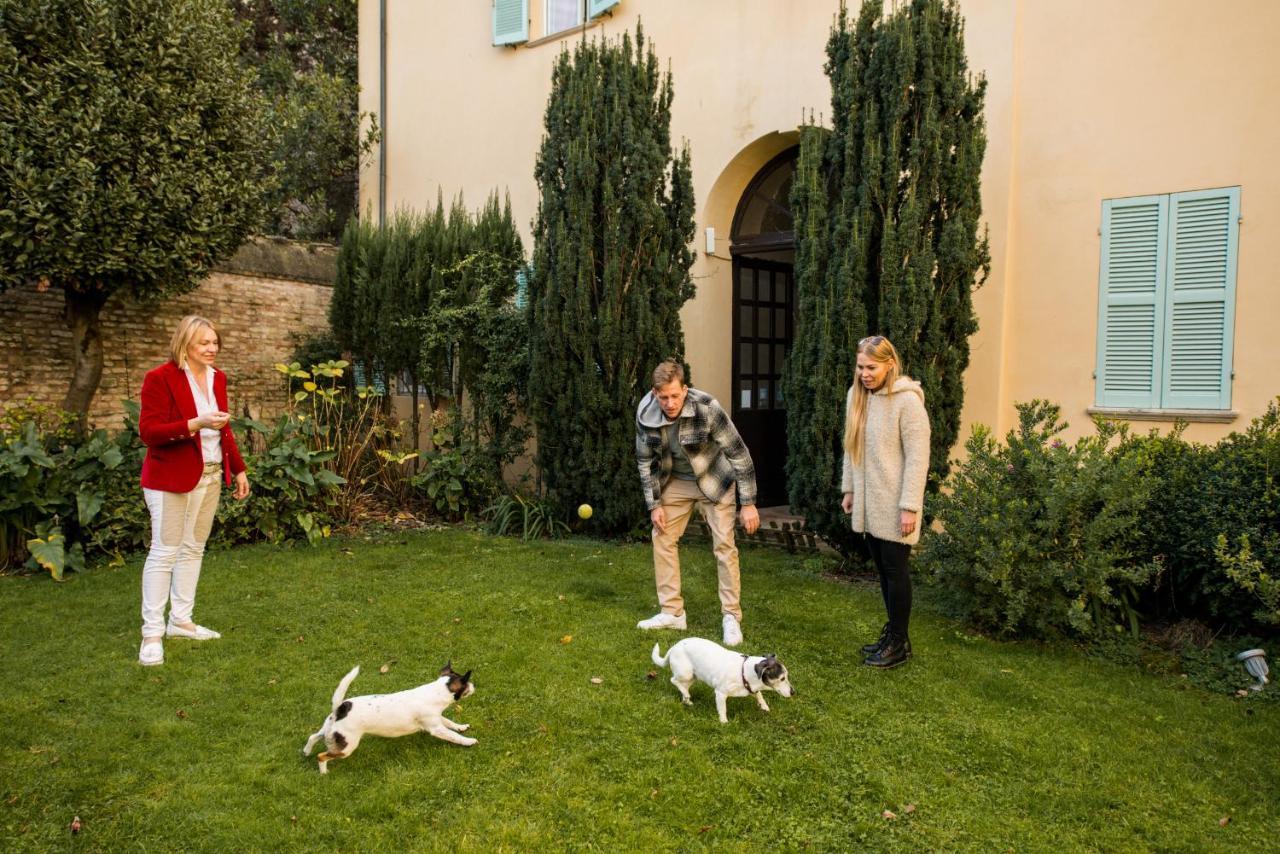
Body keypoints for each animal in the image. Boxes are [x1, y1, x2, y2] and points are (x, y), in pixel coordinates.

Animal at [299, 660, 476, 773]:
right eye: (467, 685)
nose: (474, 686)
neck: (437, 691)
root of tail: (340, 708)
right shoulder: (436, 728)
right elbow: (454, 736)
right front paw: (468, 741)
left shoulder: (437, 719)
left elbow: (451, 723)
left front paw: (461, 727)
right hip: (347, 747)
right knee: (322, 756)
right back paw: (323, 772)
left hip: (330, 731)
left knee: (313, 736)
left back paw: (306, 751)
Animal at [655, 637, 793, 727]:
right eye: (782, 678)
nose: (793, 692)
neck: (743, 671)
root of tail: (674, 646)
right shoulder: (720, 694)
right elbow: (723, 709)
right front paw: (724, 722)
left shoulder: (752, 688)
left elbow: (759, 695)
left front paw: (764, 707)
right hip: (685, 673)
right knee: (673, 680)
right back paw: (686, 695)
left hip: (693, 676)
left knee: (684, 687)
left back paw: (687, 700)